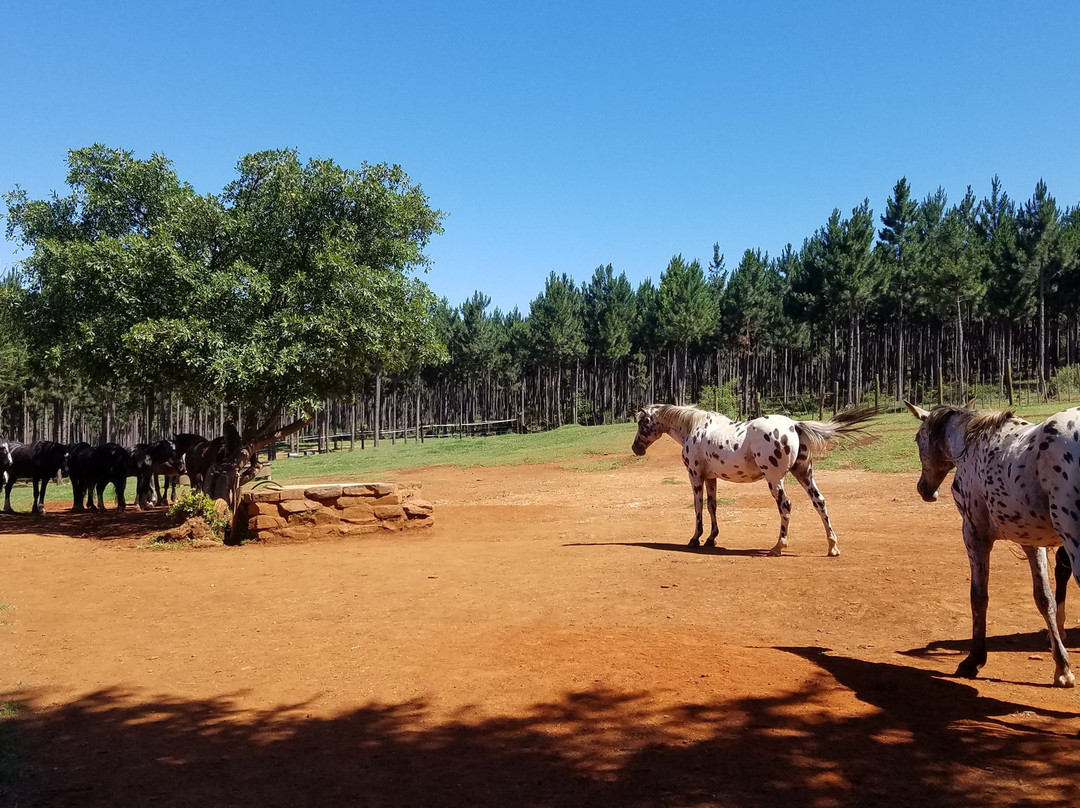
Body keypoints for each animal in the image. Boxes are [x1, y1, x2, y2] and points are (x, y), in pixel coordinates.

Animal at [632, 404, 877, 556]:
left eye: (642, 423)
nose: (636, 449)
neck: (695, 428)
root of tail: (794, 425)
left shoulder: (695, 475)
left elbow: (698, 507)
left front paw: (695, 539)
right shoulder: (711, 478)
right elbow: (712, 506)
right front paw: (711, 538)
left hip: (775, 479)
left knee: (785, 506)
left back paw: (778, 547)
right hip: (804, 473)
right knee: (820, 503)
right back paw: (832, 547)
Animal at [906, 401, 1080, 687]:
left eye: (918, 438)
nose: (925, 490)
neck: (972, 444)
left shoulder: (974, 535)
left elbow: (978, 597)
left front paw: (973, 660)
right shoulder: (1030, 541)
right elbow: (1045, 599)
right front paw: (1062, 668)